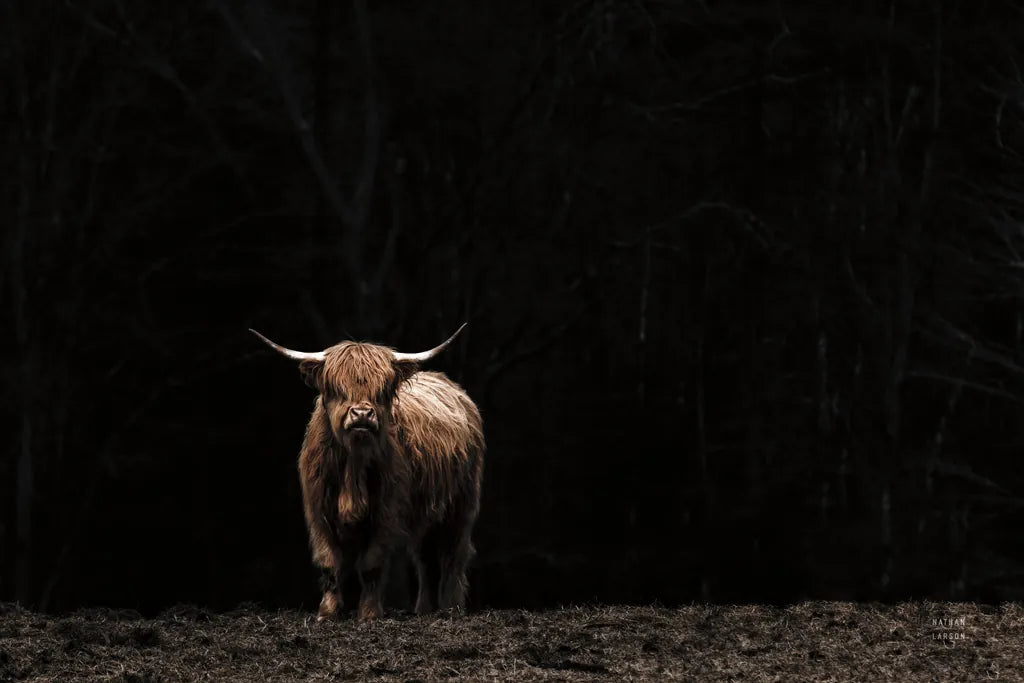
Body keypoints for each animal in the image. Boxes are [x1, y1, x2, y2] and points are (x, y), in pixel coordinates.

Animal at [251, 324, 484, 621]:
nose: (362, 414)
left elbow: (371, 564)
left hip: (462, 504)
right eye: (336, 387)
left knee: (453, 555)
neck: (354, 465)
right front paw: (327, 612)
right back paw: (423, 610)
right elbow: (329, 562)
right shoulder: (318, 510)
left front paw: (369, 614)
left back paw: (451, 607)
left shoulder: (387, 512)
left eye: (382, 389)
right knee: (425, 558)